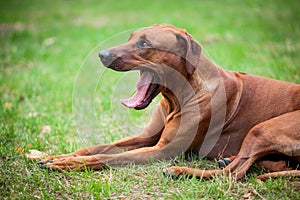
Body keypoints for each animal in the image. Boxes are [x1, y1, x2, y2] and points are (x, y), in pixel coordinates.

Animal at [40, 24, 300, 180]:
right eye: (131, 37)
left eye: (144, 44)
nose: (102, 54)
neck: (177, 97)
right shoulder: (146, 138)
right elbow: (97, 147)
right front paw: (61, 156)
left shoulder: (162, 150)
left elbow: (108, 157)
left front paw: (68, 164)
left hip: (261, 129)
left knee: (232, 174)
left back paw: (180, 170)